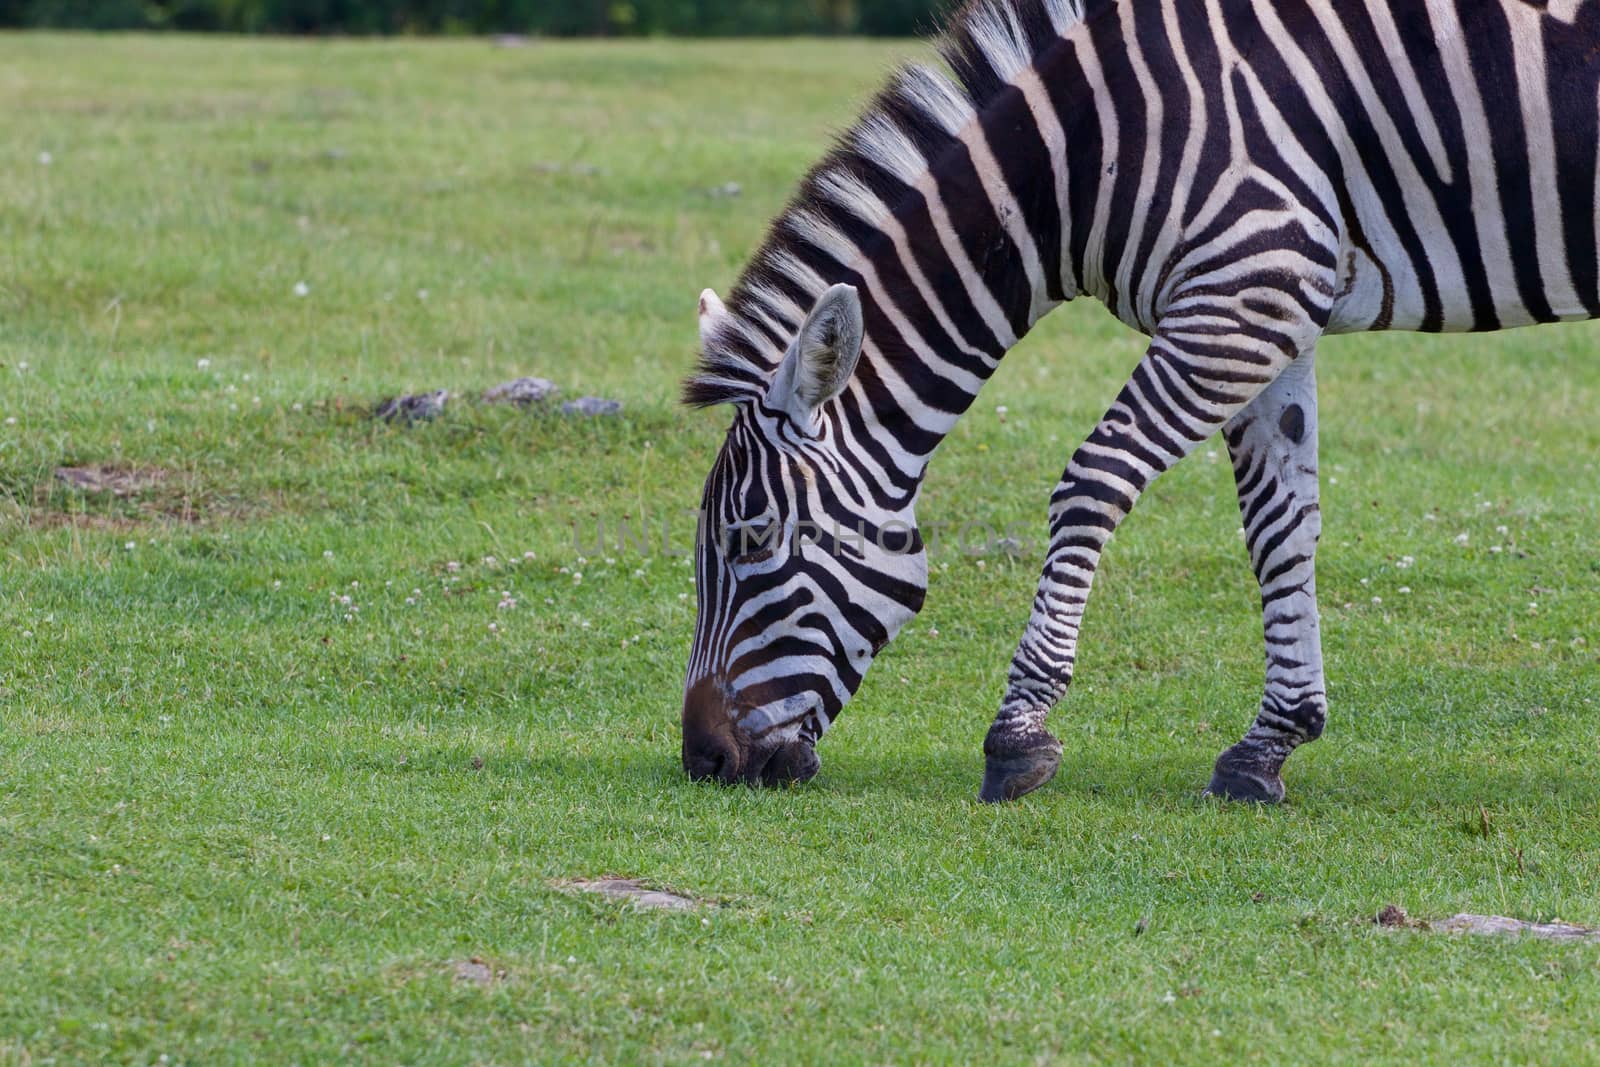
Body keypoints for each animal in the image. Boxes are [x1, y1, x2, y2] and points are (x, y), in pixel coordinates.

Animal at [678, 0, 1600, 799]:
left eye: (751, 538)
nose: (702, 760)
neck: (1087, 153)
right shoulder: (1276, 309)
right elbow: (1280, 526)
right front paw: (1269, 744)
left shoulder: (1242, 294)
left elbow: (1091, 481)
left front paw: (1017, 734)